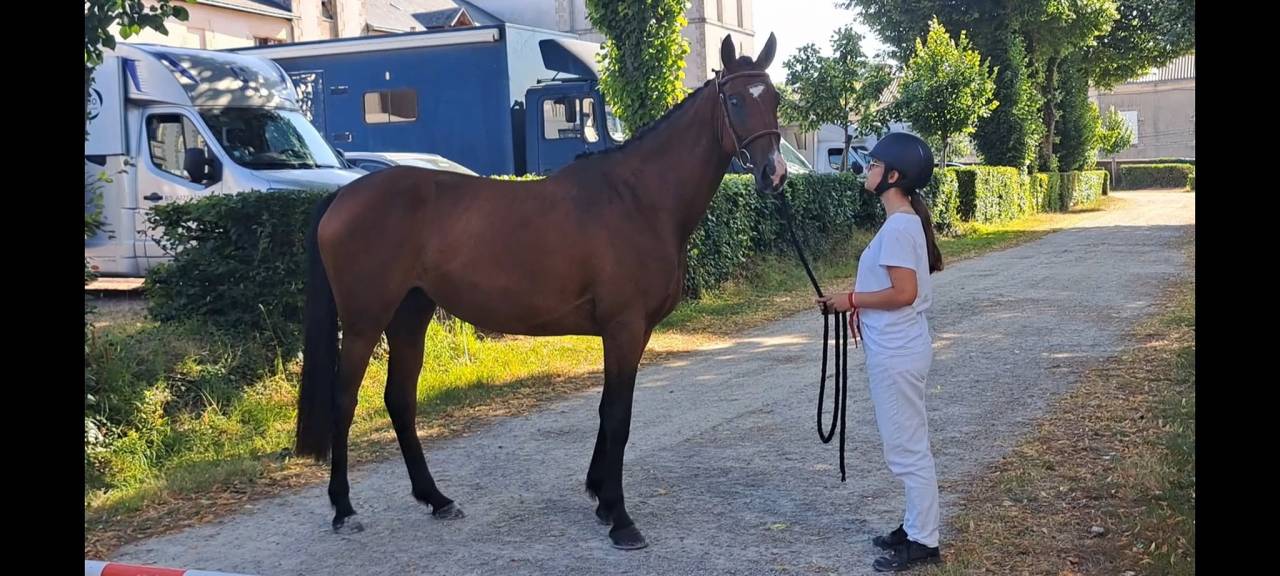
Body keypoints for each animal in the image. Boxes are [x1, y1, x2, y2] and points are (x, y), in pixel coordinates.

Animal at [296, 33, 787, 550]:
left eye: (774, 99)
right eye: (736, 100)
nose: (774, 174)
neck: (638, 198)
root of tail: (344, 194)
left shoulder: (631, 332)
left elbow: (607, 410)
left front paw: (601, 497)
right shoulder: (624, 327)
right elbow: (618, 414)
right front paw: (621, 518)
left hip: (411, 313)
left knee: (400, 401)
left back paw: (437, 499)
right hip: (364, 320)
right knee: (345, 401)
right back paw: (344, 509)